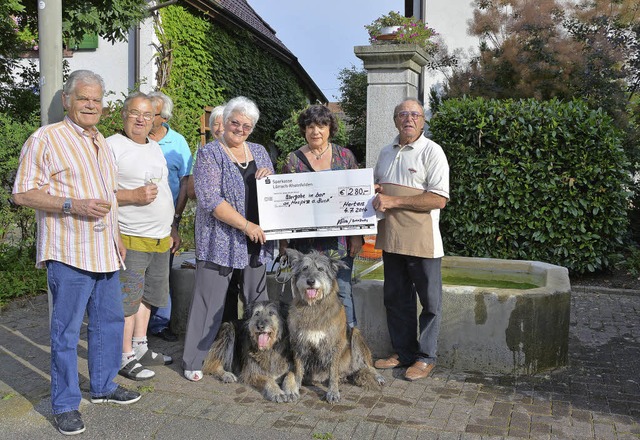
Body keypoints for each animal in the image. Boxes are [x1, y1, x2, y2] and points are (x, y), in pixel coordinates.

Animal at [286, 248, 384, 402]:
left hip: (356, 335)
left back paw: (376, 376)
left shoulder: (334, 344)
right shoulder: (298, 343)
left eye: (320, 269)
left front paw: (333, 392)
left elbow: (333, 371)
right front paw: (294, 387)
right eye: (305, 268)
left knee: (369, 365)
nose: (310, 281)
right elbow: (298, 370)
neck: (314, 307)